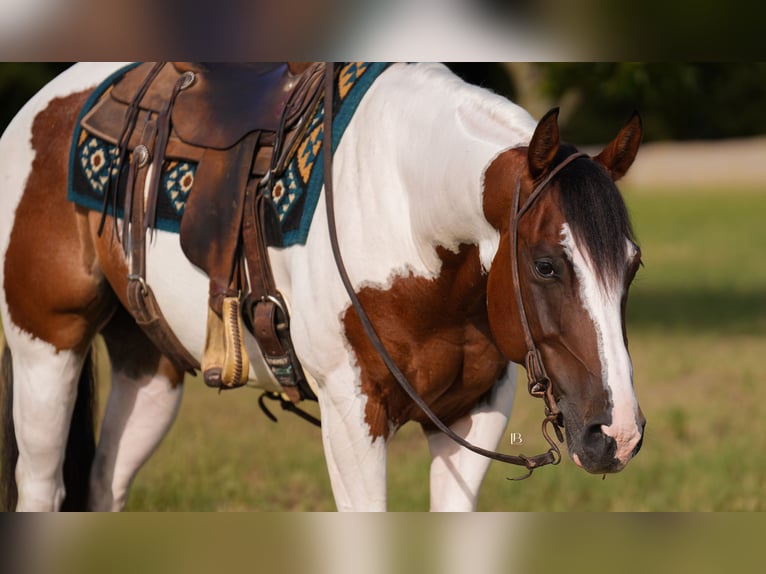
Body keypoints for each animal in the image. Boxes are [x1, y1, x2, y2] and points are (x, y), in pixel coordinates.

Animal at [0, 62, 645, 511]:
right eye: (546, 266)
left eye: (632, 265)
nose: (616, 434)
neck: (408, 215)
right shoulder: (352, 414)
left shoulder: (476, 412)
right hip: (46, 350)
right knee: (40, 487)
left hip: (151, 370)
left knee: (105, 483)